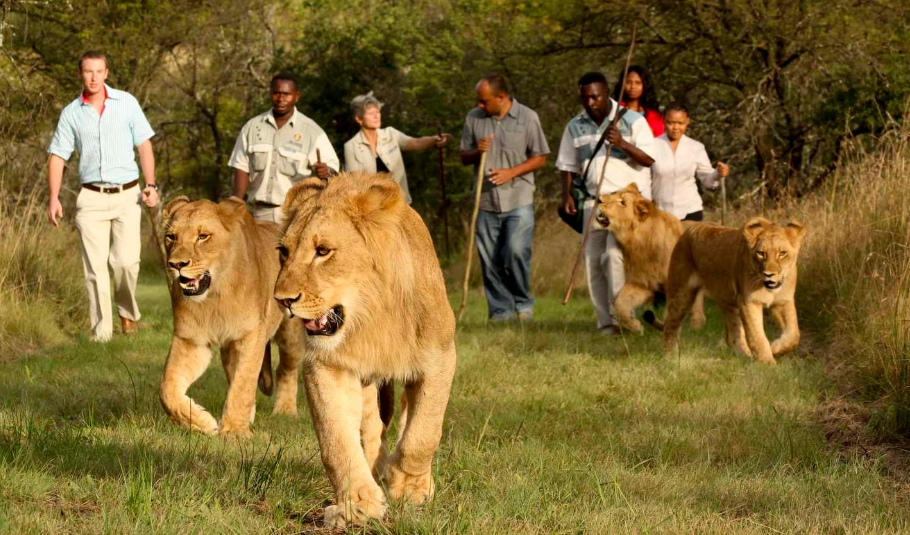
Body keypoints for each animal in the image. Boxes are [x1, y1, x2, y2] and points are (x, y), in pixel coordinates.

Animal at [160, 197, 306, 436]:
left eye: (203, 236)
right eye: (171, 237)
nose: (176, 264)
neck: (214, 297)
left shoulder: (251, 336)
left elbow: (243, 384)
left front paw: (235, 431)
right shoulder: (191, 340)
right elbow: (167, 388)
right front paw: (202, 423)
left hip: (290, 336)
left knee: (286, 369)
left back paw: (285, 410)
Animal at [270, 173, 456, 528]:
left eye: (323, 251)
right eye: (283, 252)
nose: (282, 300)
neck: (372, 318)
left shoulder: (440, 359)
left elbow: (423, 434)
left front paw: (409, 488)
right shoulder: (328, 366)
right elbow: (336, 440)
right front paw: (358, 503)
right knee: (372, 430)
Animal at [596, 185, 708, 336]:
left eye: (622, 202)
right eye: (614, 193)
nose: (598, 199)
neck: (640, 243)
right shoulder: (642, 283)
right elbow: (620, 305)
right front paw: (636, 327)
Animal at [668, 217, 808, 364]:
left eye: (782, 253)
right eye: (761, 253)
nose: (768, 274)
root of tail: (691, 227)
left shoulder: (783, 301)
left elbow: (794, 335)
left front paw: (775, 348)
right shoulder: (749, 302)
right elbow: (757, 335)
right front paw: (767, 362)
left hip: (730, 304)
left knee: (733, 336)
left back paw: (746, 356)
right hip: (681, 292)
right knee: (670, 324)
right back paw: (671, 356)